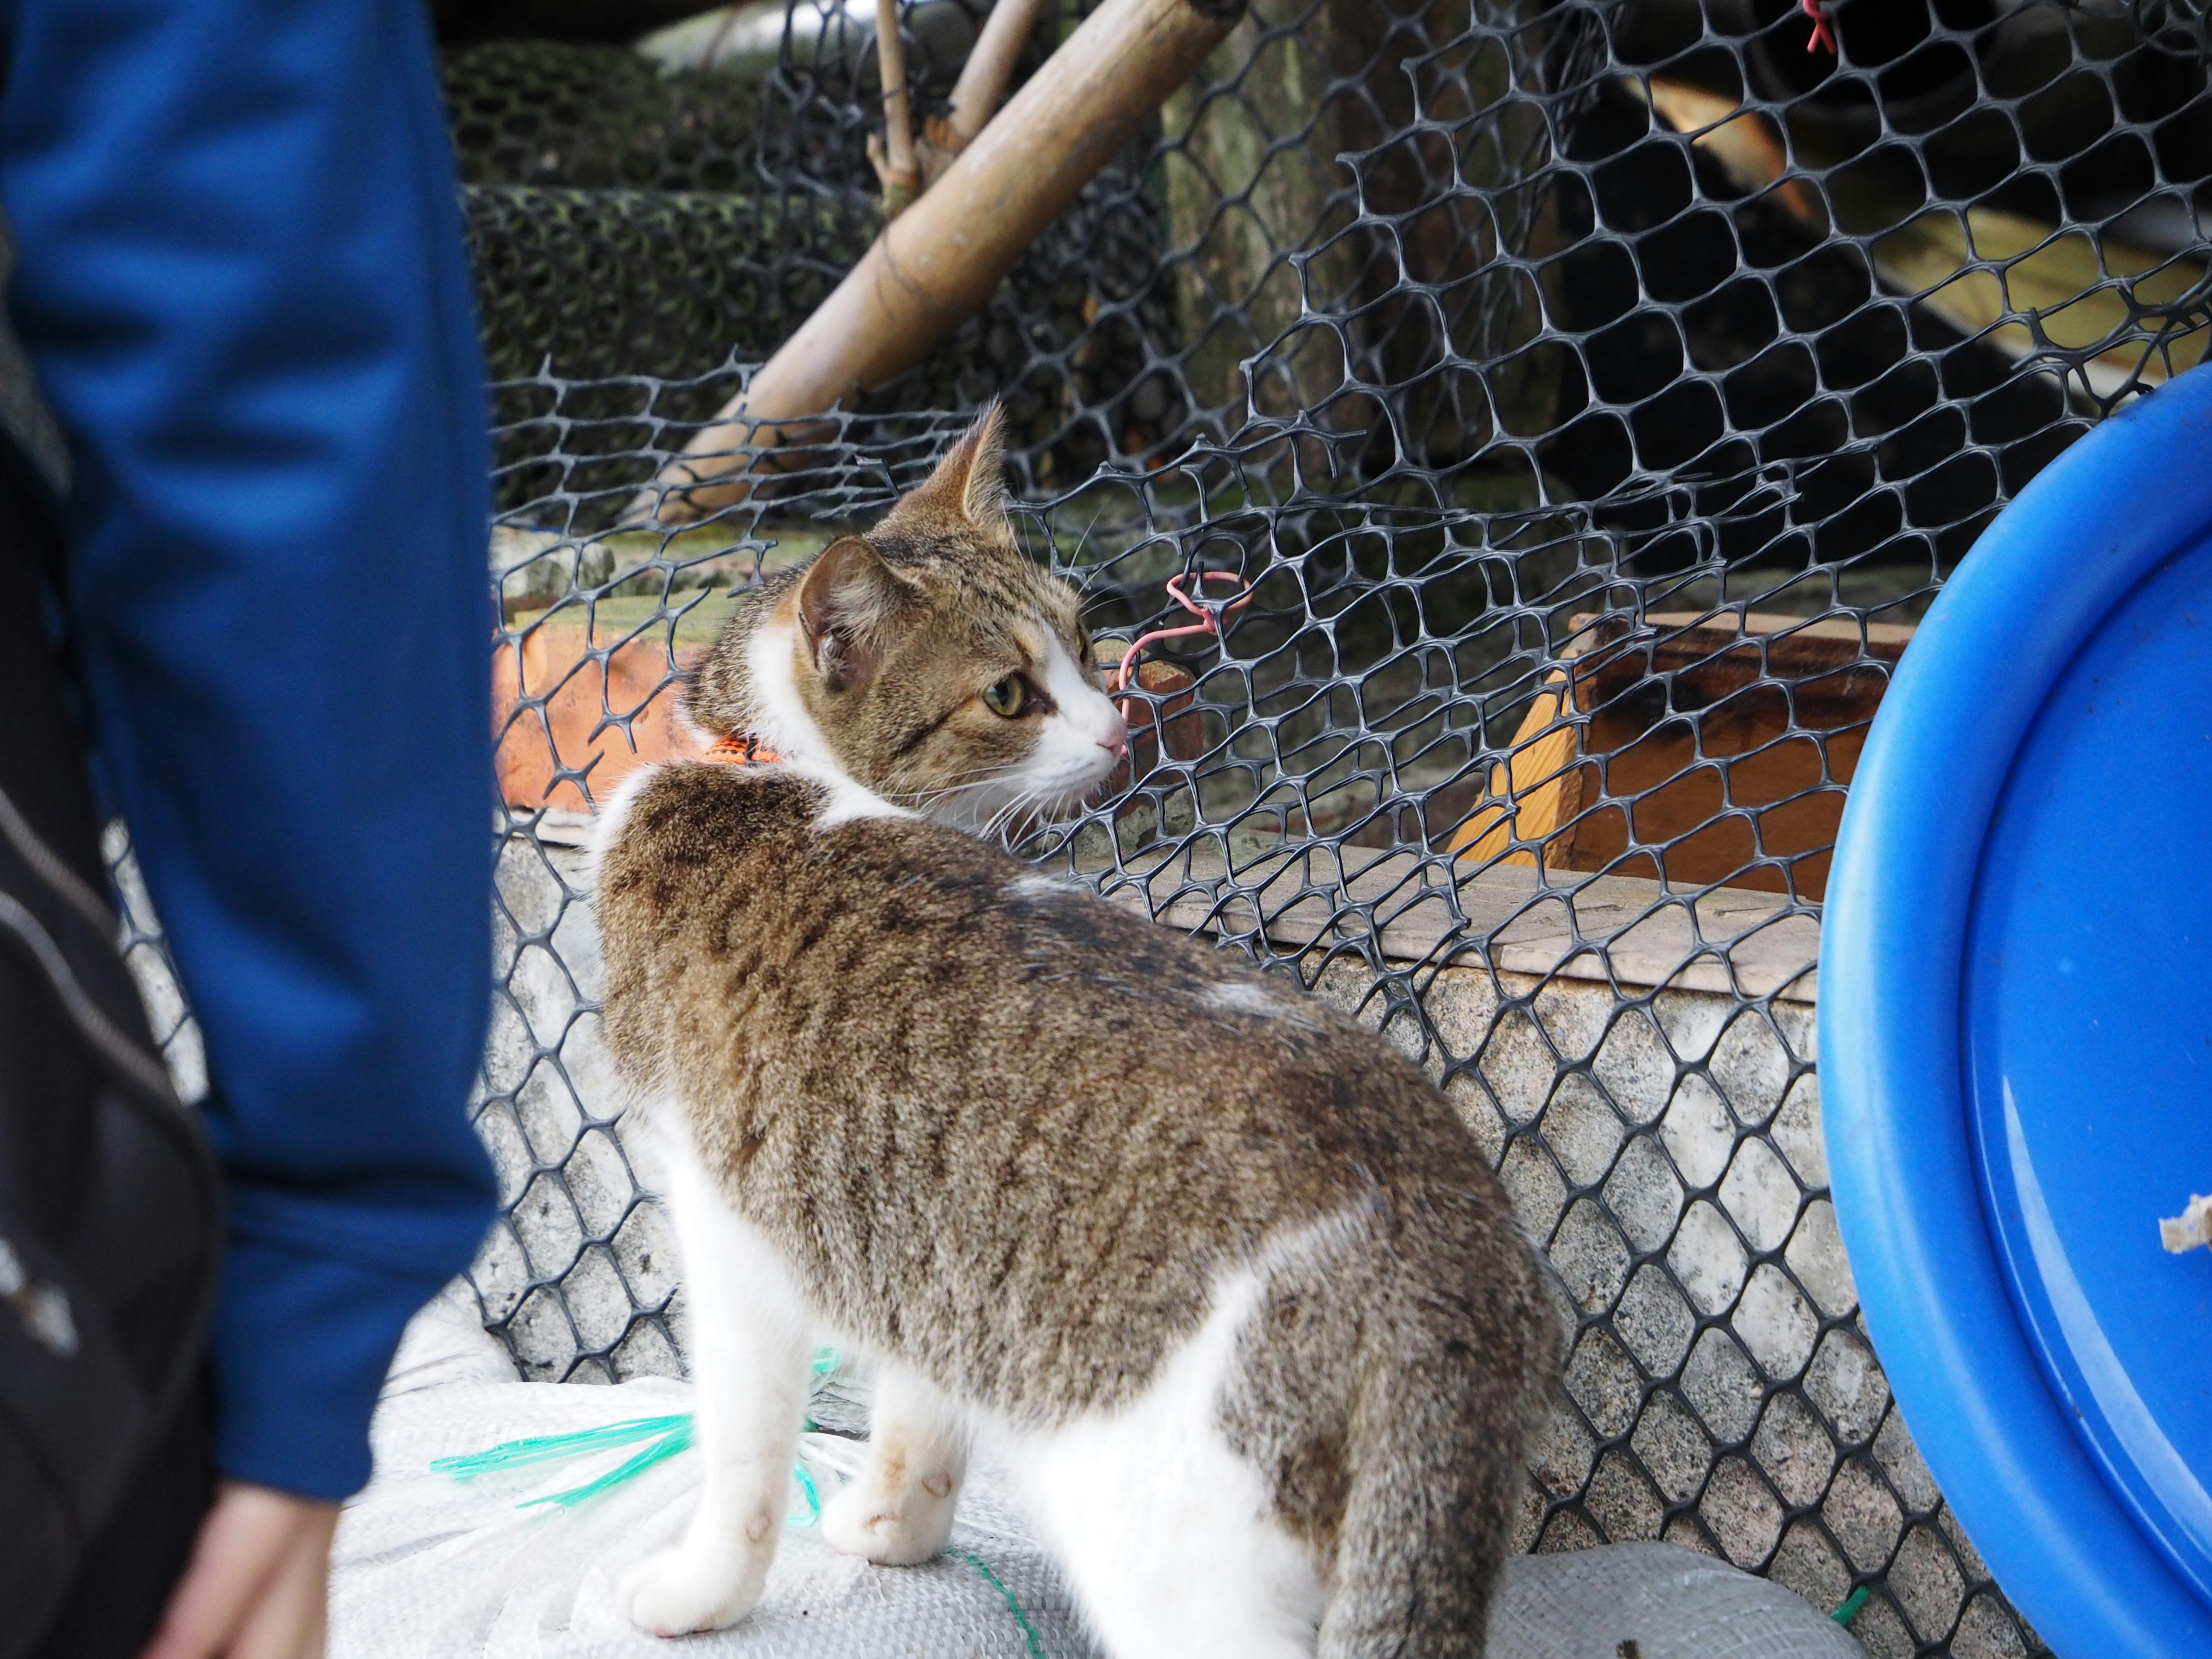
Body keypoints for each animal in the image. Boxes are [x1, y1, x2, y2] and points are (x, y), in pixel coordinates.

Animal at [588, 407, 1557, 1659]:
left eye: (1086, 642)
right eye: (1011, 693)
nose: (1121, 728)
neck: (783, 775)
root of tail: (1439, 1254)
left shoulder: (727, 1228)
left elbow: (740, 1460)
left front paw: (699, 1595)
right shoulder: (933, 1260)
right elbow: (920, 1414)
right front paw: (893, 1529)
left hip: (1177, 1550)